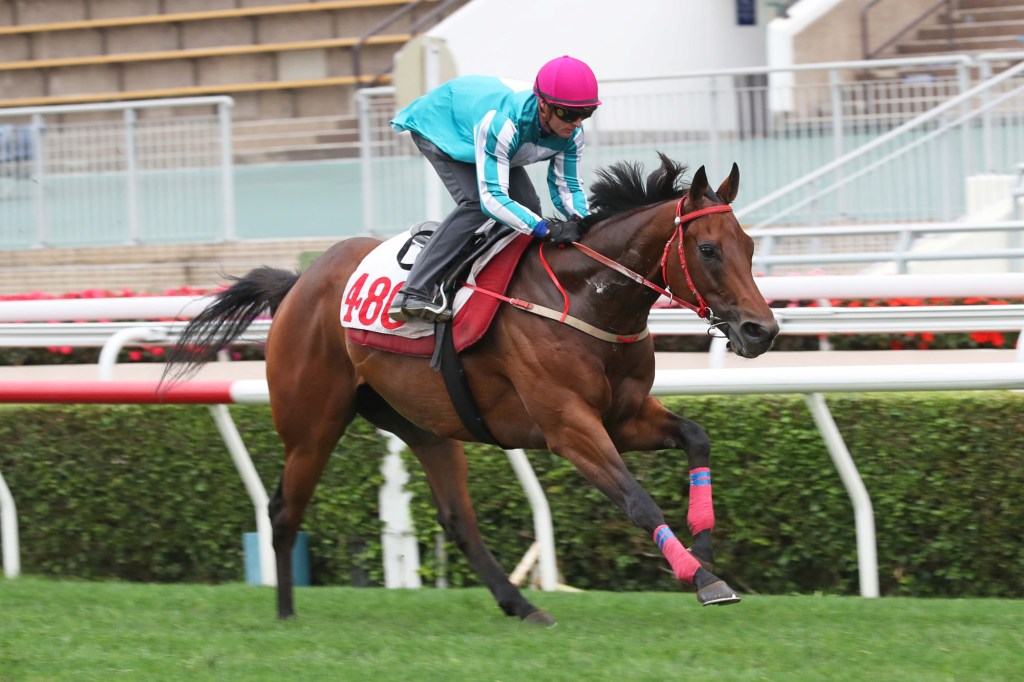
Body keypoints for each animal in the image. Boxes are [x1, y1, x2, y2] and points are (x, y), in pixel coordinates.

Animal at [164, 153, 779, 625]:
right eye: (707, 250)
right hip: (312, 423)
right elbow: (636, 498)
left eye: (749, 248)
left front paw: (704, 548)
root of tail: (297, 283)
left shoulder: (623, 417)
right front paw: (701, 578)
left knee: (457, 518)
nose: (761, 330)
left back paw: (521, 606)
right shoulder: (569, 427)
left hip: (424, 424)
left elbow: (696, 437)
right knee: (283, 508)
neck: (586, 298)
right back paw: (286, 614)